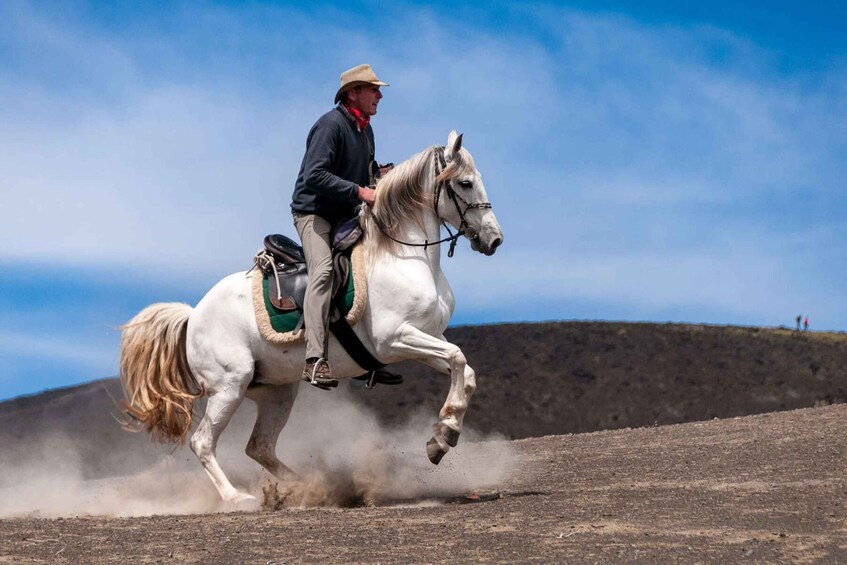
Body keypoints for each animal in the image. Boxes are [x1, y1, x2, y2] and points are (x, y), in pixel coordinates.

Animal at [119, 132, 504, 502]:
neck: (403, 256)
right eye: (466, 183)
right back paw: (238, 497)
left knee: (259, 447)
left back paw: (307, 487)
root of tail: (194, 314)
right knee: (203, 442)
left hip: (276, 392)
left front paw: (443, 435)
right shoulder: (396, 339)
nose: (495, 239)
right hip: (229, 386)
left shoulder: (426, 338)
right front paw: (444, 434)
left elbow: (464, 370)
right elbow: (458, 357)